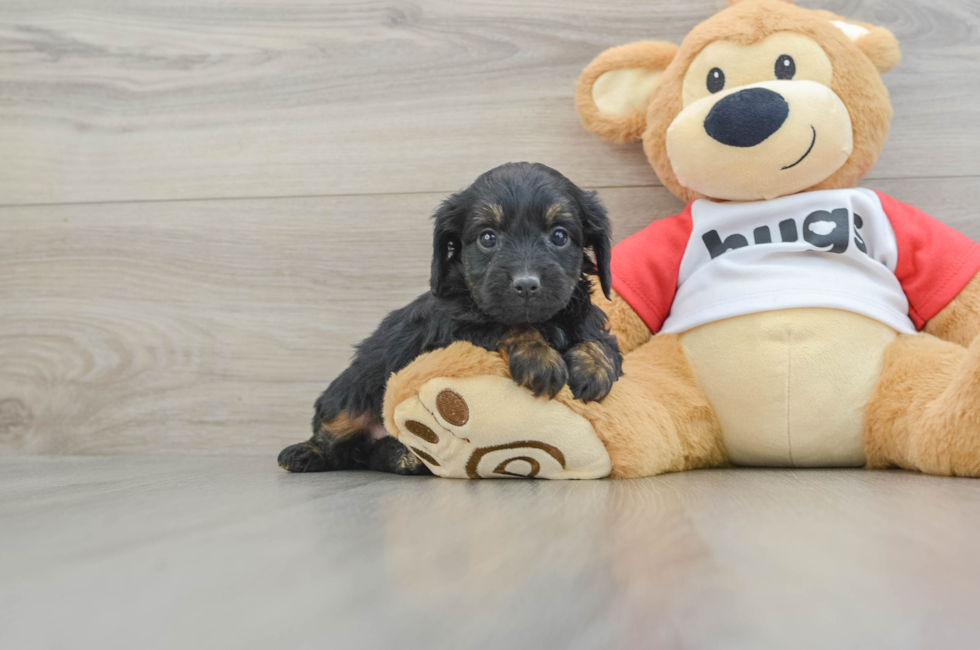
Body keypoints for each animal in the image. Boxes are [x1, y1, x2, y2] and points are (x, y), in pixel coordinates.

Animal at [280, 162, 624, 474]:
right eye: (488, 238)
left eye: (559, 236)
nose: (526, 284)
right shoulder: (451, 328)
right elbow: (506, 324)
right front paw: (539, 357)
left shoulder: (584, 315)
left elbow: (600, 340)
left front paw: (594, 368)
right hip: (351, 391)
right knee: (334, 434)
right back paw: (303, 454)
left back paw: (403, 457)